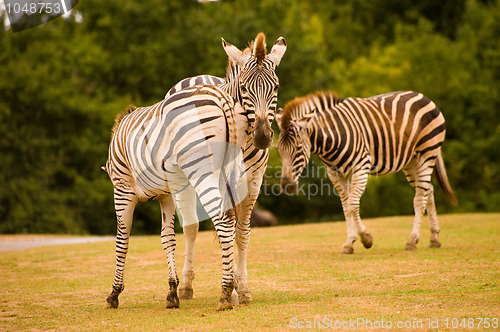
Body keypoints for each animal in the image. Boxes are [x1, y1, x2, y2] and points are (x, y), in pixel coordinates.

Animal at [164, 32, 288, 304]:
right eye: (244, 88)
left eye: (275, 87)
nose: (263, 137)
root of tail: (197, 77)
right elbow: (225, 229)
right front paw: (231, 289)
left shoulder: (253, 181)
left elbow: (242, 232)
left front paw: (242, 288)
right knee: (191, 228)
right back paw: (186, 285)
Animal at [276, 89, 458, 253]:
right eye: (278, 149)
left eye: (298, 148)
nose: (286, 186)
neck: (332, 137)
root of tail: (423, 96)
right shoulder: (335, 173)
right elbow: (345, 206)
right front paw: (350, 242)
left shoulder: (360, 167)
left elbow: (352, 204)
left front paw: (365, 239)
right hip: (411, 162)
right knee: (428, 191)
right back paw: (434, 238)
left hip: (426, 154)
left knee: (419, 198)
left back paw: (412, 240)